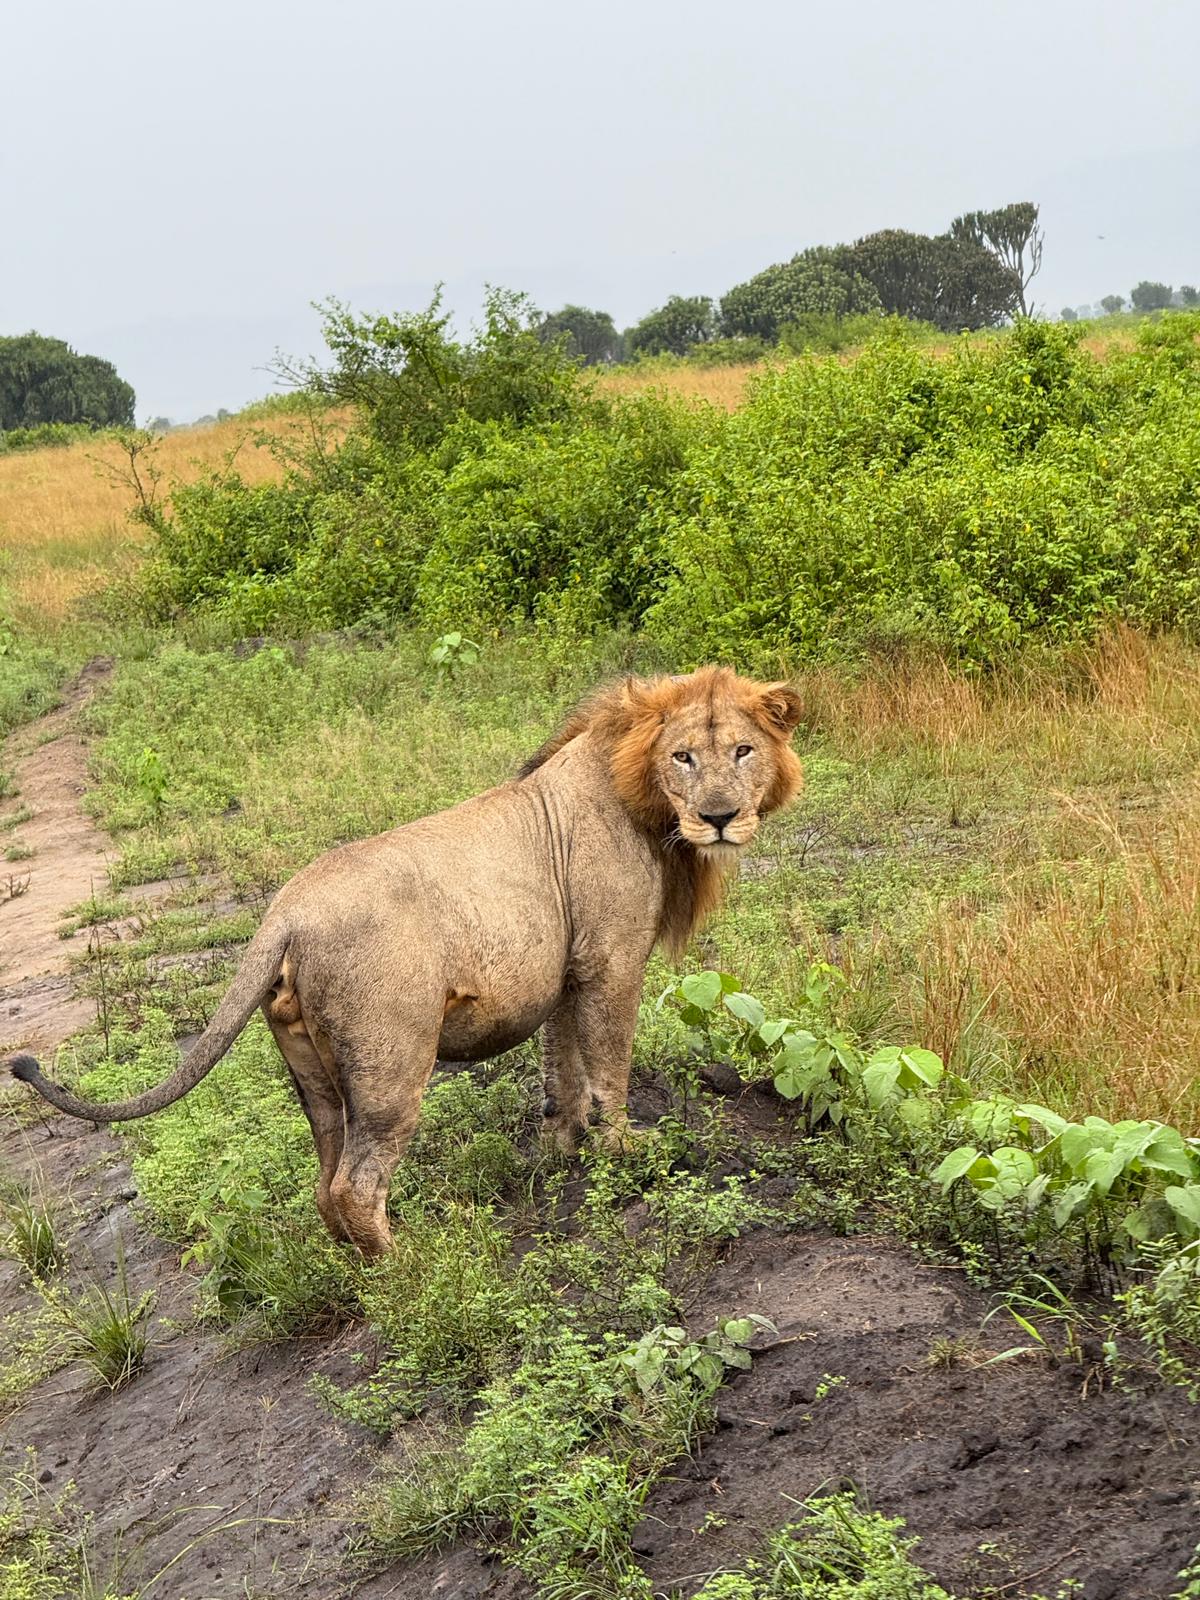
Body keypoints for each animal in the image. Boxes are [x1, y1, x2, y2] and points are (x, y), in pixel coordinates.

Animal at [8, 667, 803, 1255]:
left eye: (743, 751)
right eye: (684, 757)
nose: (720, 818)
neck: (643, 797)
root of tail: (282, 913)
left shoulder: (564, 972)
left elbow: (562, 1070)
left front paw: (561, 1151)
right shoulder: (612, 961)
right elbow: (609, 1064)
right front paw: (626, 1155)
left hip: (312, 1069)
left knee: (325, 1180)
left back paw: (360, 1269)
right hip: (391, 1060)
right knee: (357, 1184)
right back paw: (408, 1268)